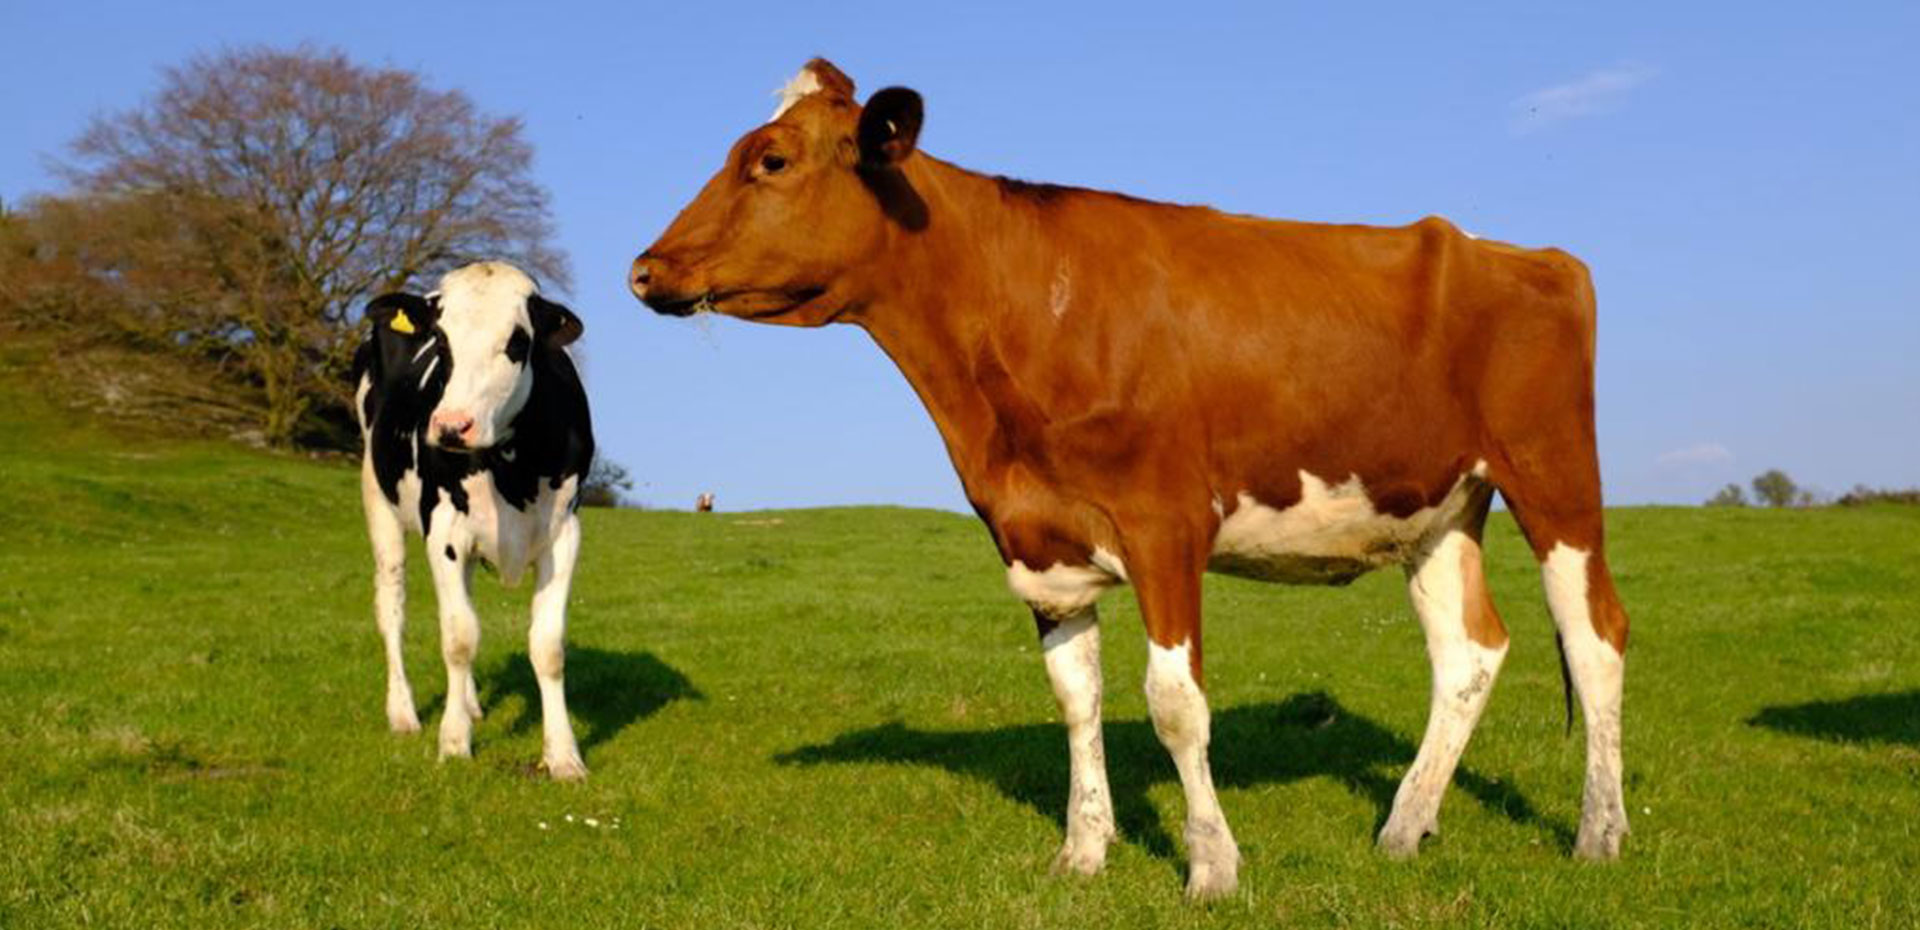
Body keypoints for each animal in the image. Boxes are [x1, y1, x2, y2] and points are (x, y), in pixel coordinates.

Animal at [353, 259, 591, 776]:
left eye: (517, 342)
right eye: (440, 342)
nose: (450, 426)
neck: (512, 469)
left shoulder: (564, 534)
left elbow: (548, 647)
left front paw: (564, 756)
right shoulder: (444, 533)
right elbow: (459, 638)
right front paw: (454, 741)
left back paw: (471, 702)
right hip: (377, 499)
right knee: (392, 608)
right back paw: (403, 712)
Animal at [629, 60, 1635, 899]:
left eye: (771, 159)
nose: (644, 268)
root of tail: (1527, 254)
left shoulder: (1165, 525)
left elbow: (1175, 706)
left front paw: (1212, 867)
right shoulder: (1038, 541)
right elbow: (1077, 699)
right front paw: (1081, 852)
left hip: (1552, 473)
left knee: (1596, 636)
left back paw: (1599, 834)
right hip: (1433, 506)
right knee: (1470, 651)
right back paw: (1404, 826)